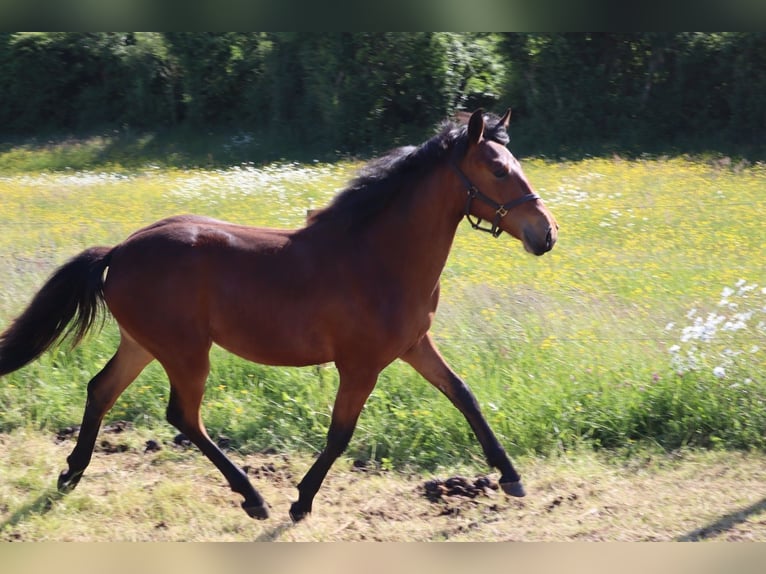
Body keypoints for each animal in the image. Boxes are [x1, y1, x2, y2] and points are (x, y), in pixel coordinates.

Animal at [0, 108, 560, 520]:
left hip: (143, 344)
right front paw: (301, 500)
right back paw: (252, 497)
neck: (378, 257)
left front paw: (511, 477)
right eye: (498, 169)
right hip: (184, 351)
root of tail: (118, 251)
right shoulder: (361, 365)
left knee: (102, 389)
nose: (546, 233)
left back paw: (71, 473)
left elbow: (464, 395)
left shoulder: (413, 346)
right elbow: (340, 433)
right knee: (182, 415)